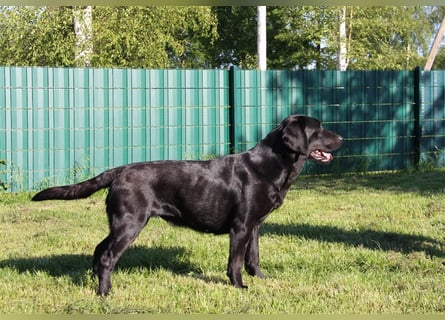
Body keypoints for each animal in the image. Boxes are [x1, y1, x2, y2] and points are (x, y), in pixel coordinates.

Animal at [33, 114, 342, 296]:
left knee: (99, 249)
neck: (271, 165)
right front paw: (239, 286)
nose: (340, 138)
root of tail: (120, 170)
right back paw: (105, 292)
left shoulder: (255, 225)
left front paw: (262, 279)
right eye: (319, 129)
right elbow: (235, 262)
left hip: (119, 222)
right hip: (131, 222)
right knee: (108, 255)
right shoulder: (240, 227)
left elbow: (253, 258)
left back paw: (95, 281)